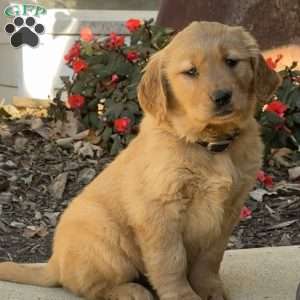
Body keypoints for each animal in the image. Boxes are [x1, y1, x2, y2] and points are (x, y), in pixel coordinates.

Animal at [0, 21, 280, 300]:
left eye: (232, 61)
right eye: (190, 72)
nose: (222, 96)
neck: (210, 145)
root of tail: (55, 263)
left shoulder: (229, 210)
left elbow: (211, 258)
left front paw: (210, 289)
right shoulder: (159, 210)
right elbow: (171, 261)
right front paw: (183, 296)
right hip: (107, 238)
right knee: (88, 286)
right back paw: (130, 290)